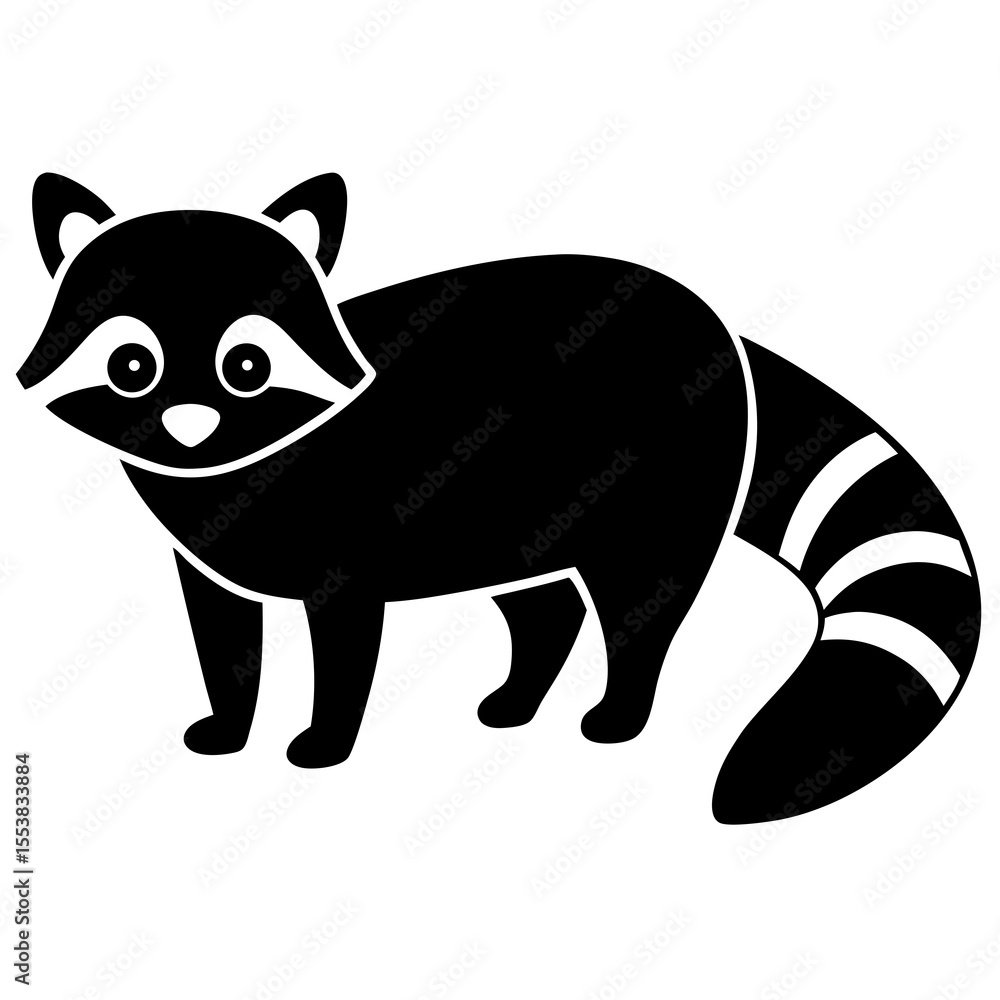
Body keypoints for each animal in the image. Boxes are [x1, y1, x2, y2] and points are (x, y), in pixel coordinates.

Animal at [18, 171, 980, 823]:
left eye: (246, 366)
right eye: (132, 364)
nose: (189, 425)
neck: (233, 476)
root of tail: (718, 328)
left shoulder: (346, 548)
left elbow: (344, 651)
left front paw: (325, 739)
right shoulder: (202, 561)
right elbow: (222, 638)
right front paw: (229, 721)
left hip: (652, 503)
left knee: (640, 612)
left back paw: (618, 710)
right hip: (512, 516)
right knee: (544, 608)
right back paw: (518, 697)